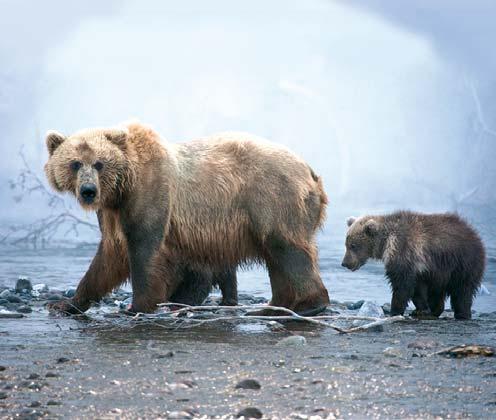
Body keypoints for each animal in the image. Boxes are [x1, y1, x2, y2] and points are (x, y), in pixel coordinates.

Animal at [43, 120, 330, 314]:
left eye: (100, 163)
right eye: (75, 163)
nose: (88, 191)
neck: (123, 188)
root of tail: (311, 171)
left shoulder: (152, 193)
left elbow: (144, 249)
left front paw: (139, 305)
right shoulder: (112, 212)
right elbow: (108, 256)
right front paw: (66, 303)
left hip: (274, 199)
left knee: (288, 250)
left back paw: (308, 304)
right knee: (277, 259)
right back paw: (274, 305)